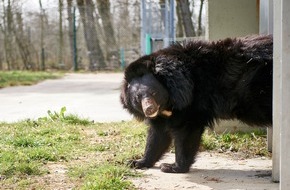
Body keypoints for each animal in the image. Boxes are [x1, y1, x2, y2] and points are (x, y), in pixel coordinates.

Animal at [119, 35, 272, 173]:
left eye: (153, 93)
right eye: (137, 98)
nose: (149, 109)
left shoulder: (192, 101)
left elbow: (186, 132)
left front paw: (172, 167)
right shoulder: (164, 114)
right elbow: (157, 135)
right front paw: (137, 162)